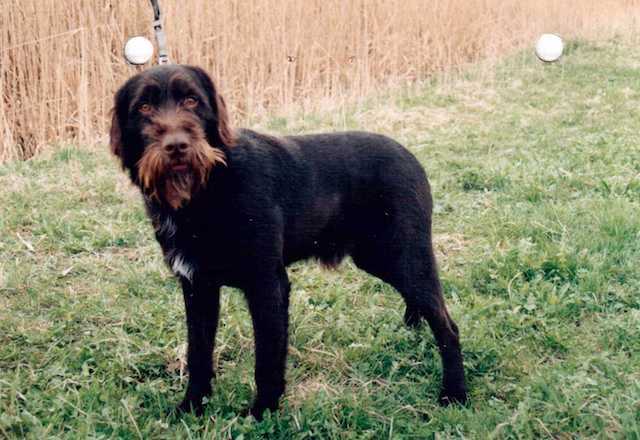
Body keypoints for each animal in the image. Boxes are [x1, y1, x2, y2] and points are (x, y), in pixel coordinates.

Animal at [109, 64, 466, 419]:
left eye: (192, 100)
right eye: (143, 107)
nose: (176, 146)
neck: (209, 188)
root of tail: (412, 159)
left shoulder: (267, 284)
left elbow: (267, 357)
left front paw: (262, 412)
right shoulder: (198, 287)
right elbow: (198, 353)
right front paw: (192, 406)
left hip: (401, 256)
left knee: (447, 326)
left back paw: (455, 394)